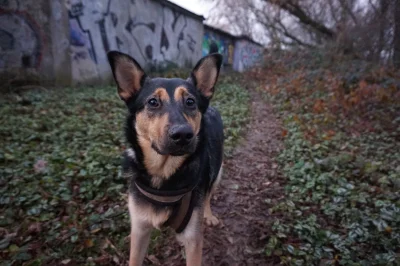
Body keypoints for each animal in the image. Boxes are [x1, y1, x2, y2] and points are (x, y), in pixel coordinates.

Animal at [106, 50, 225, 266]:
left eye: (190, 102)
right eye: (153, 102)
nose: (183, 135)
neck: (164, 176)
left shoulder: (193, 239)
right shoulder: (140, 229)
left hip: (217, 172)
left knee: (208, 194)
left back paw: (209, 215)